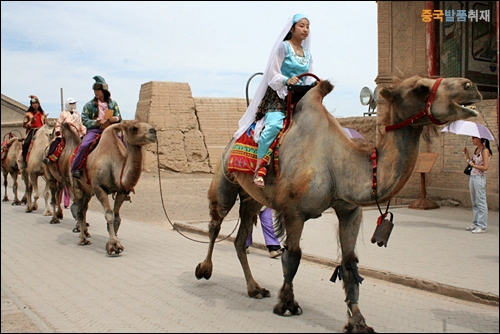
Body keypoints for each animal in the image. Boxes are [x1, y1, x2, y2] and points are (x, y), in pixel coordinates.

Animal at [72, 121, 156, 254]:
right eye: (134, 128)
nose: (154, 131)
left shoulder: (122, 190)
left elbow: (117, 217)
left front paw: (115, 241)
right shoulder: (99, 188)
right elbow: (109, 215)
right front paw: (113, 246)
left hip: (88, 190)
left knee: (84, 208)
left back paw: (85, 233)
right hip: (77, 184)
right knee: (80, 209)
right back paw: (83, 239)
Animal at [194, 76, 480, 334]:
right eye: (420, 88)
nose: (470, 86)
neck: (339, 166)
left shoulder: (349, 210)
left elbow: (350, 265)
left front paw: (359, 322)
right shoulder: (295, 212)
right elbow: (293, 256)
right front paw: (287, 304)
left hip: (253, 198)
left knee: (240, 237)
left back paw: (254, 289)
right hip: (225, 179)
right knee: (215, 223)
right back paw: (204, 269)